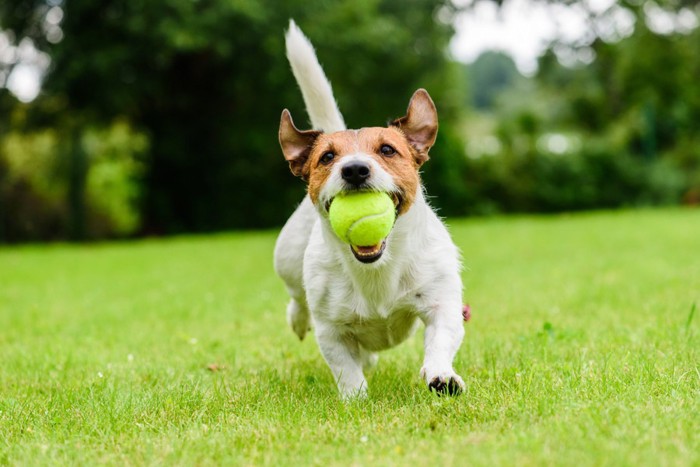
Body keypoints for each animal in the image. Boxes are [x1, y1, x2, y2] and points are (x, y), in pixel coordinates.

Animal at [274, 19, 464, 398]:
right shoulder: (331, 329)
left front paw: (441, 376)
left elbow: (440, 340)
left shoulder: (442, 302)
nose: (354, 169)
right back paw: (298, 319)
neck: (376, 269)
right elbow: (345, 368)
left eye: (388, 149)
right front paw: (356, 399)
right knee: (297, 299)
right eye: (327, 157)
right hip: (286, 260)